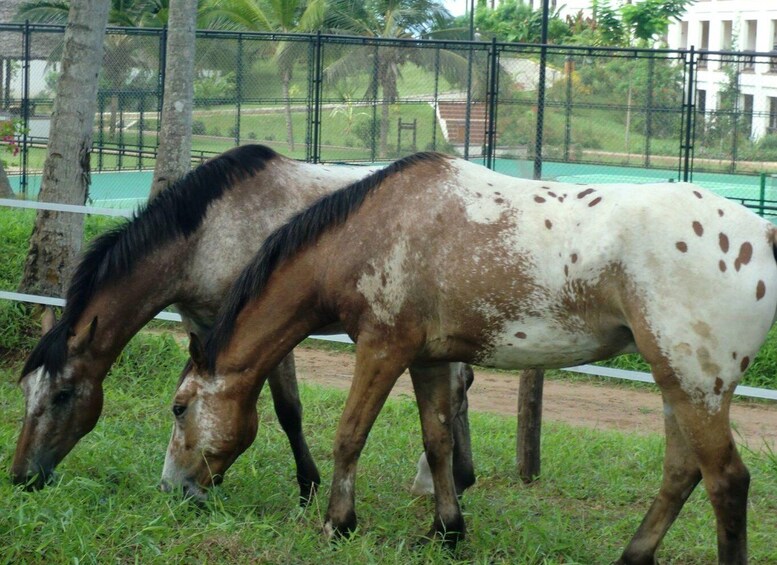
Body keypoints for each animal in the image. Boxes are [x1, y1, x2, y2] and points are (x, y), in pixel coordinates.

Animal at [10, 144, 472, 502]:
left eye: (63, 395)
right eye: (26, 392)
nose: (21, 476)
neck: (207, 236)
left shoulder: (271, 330)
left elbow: (288, 410)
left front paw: (307, 487)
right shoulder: (206, 331)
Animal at [162, 152, 776, 560]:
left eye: (179, 407)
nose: (173, 491)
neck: (368, 232)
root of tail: (763, 234)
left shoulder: (382, 349)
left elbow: (349, 435)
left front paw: (338, 524)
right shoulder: (428, 359)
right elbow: (437, 442)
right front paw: (447, 531)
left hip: (695, 385)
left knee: (726, 482)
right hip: (676, 383)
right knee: (681, 472)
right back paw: (632, 556)